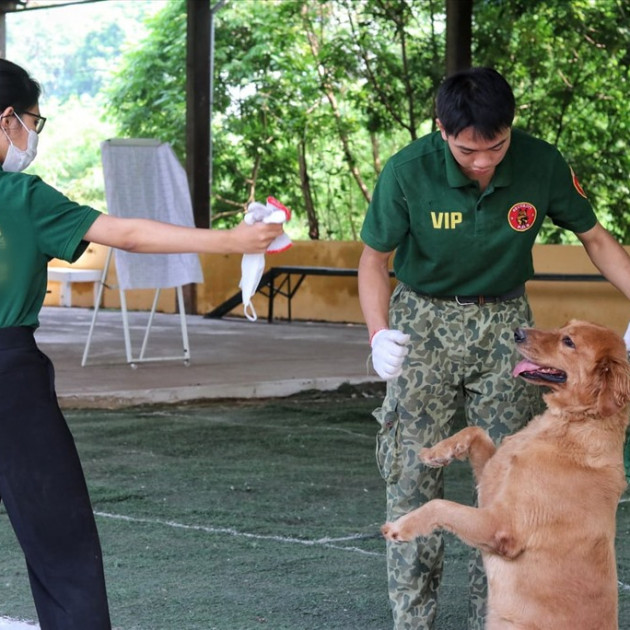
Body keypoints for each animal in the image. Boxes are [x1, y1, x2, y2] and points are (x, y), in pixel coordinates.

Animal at [380, 324, 630, 628]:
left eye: (568, 341)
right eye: (563, 328)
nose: (517, 332)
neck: (572, 424)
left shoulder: (502, 526)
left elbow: (440, 505)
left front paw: (400, 526)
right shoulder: (490, 479)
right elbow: (475, 431)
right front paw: (436, 452)